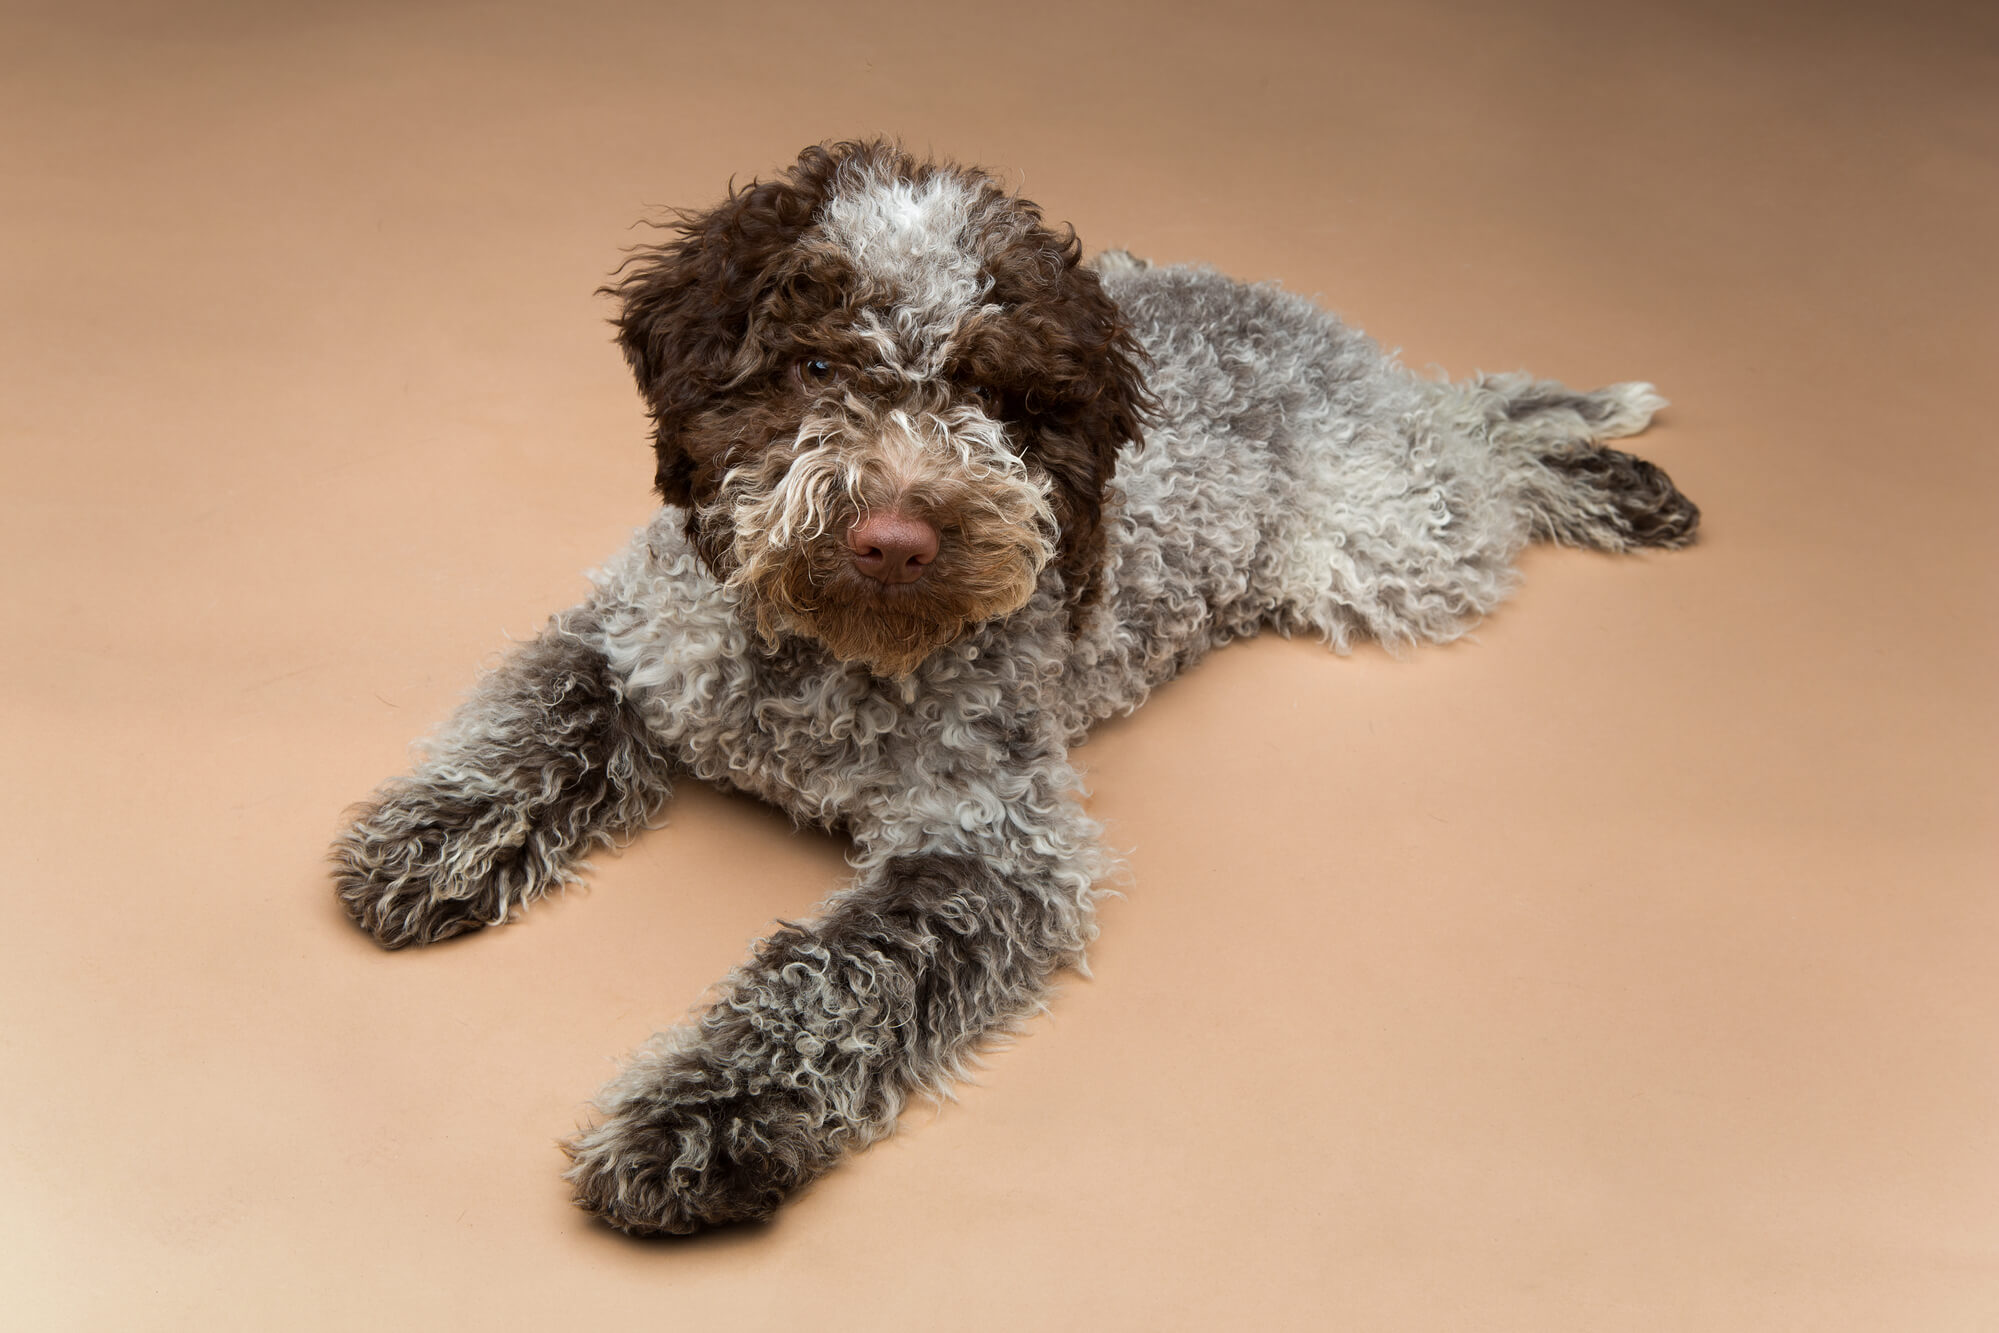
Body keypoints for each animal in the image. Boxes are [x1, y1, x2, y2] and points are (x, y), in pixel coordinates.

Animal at [331, 137, 1703, 1239]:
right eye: (817, 367)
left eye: (994, 394)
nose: (893, 535)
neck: (818, 657)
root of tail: (1296, 310)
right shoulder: (629, 642)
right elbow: (538, 715)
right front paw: (436, 835)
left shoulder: (990, 849)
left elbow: (833, 979)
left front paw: (701, 1125)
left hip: (1386, 547)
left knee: (1477, 438)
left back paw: (1610, 474)